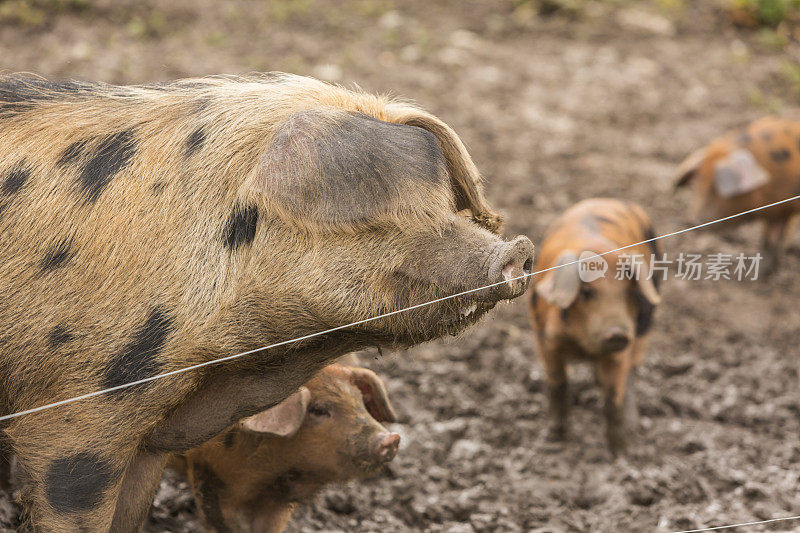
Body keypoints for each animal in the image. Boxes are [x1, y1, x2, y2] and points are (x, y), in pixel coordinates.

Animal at [528, 197, 660, 456]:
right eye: (586, 292)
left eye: (628, 291)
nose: (617, 333)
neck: (582, 346)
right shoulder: (545, 341)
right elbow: (557, 384)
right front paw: (553, 438)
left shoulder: (621, 350)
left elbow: (613, 399)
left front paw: (621, 454)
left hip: (645, 326)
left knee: (632, 372)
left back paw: (634, 424)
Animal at [676, 116, 800, 274]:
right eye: (698, 182)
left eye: (715, 188)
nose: (690, 221)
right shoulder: (779, 210)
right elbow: (771, 240)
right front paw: (761, 273)